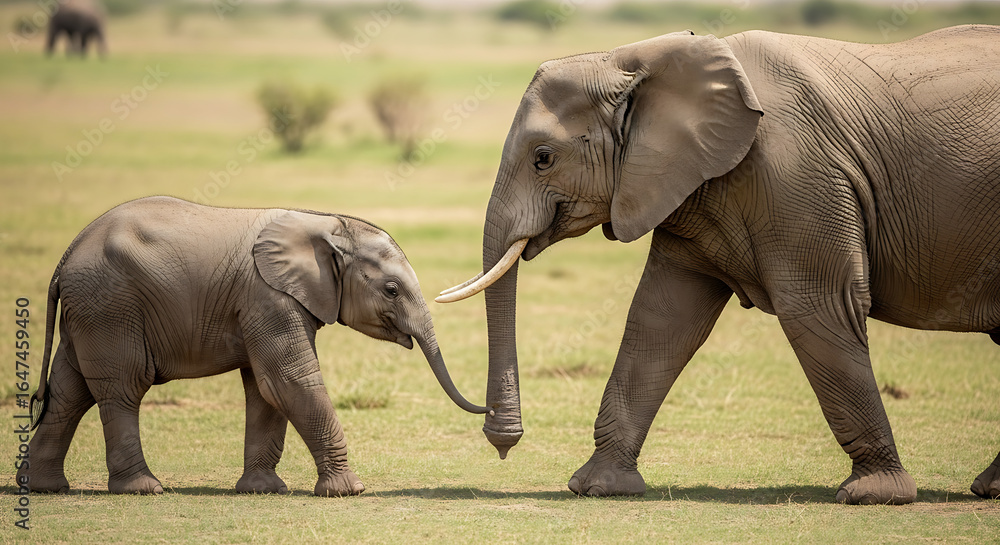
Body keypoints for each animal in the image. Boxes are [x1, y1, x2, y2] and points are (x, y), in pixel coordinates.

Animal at [18, 196, 489, 496]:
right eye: (391, 290)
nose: (488, 410)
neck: (325, 223)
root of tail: (66, 256)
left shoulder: (263, 304)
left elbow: (264, 390)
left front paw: (263, 490)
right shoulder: (268, 297)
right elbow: (288, 381)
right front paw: (349, 491)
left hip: (90, 310)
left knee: (70, 391)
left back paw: (44, 488)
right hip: (109, 306)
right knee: (121, 388)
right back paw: (143, 489)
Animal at [437, 25, 1000, 504]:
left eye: (543, 158)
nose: (504, 444)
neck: (637, 57)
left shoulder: (798, 177)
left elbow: (817, 308)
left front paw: (875, 495)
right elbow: (660, 321)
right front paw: (596, 488)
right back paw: (988, 489)